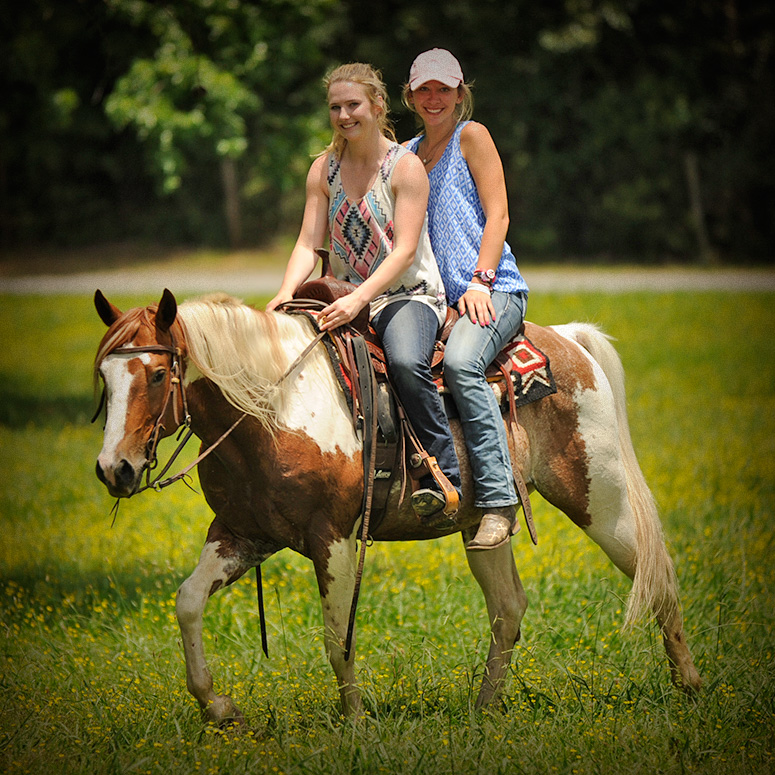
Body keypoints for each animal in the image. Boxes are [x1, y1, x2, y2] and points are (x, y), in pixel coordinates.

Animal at [92, 288, 704, 724]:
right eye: (104, 376)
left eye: (155, 374)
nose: (113, 469)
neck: (274, 407)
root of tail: (570, 340)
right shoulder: (242, 534)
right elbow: (188, 602)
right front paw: (218, 708)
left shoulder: (334, 538)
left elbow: (337, 638)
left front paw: (355, 724)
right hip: (485, 526)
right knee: (508, 609)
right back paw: (483, 711)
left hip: (601, 499)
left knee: (658, 575)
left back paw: (691, 687)